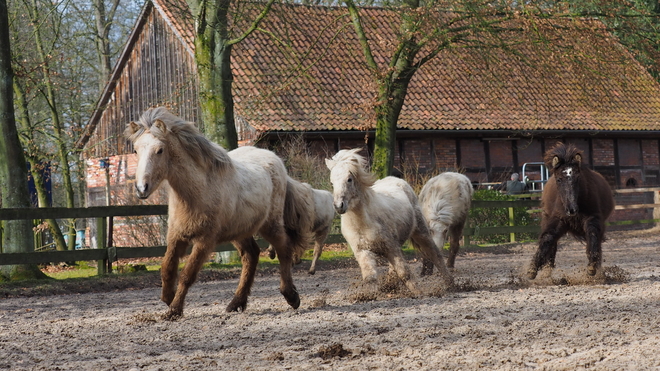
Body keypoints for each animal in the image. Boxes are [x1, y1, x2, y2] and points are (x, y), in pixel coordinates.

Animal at [127, 107, 318, 320]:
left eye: (160, 150)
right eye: (136, 150)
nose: (141, 188)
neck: (196, 192)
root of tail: (277, 161)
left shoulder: (205, 241)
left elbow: (187, 275)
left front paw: (174, 309)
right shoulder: (176, 236)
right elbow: (167, 268)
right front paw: (168, 299)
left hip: (271, 225)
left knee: (284, 249)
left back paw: (291, 296)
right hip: (240, 231)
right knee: (251, 255)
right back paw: (236, 303)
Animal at [326, 149, 454, 294]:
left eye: (349, 179)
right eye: (332, 183)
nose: (338, 206)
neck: (363, 223)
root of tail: (397, 180)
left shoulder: (391, 247)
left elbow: (405, 273)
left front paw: (419, 293)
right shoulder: (363, 252)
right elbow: (370, 278)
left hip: (421, 233)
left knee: (434, 254)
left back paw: (451, 284)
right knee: (393, 268)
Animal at [524, 142, 612, 280]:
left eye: (578, 178)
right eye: (559, 179)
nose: (571, 209)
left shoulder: (593, 218)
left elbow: (593, 236)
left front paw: (592, 267)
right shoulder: (558, 219)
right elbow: (547, 238)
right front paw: (533, 269)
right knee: (552, 243)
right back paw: (547, 270)